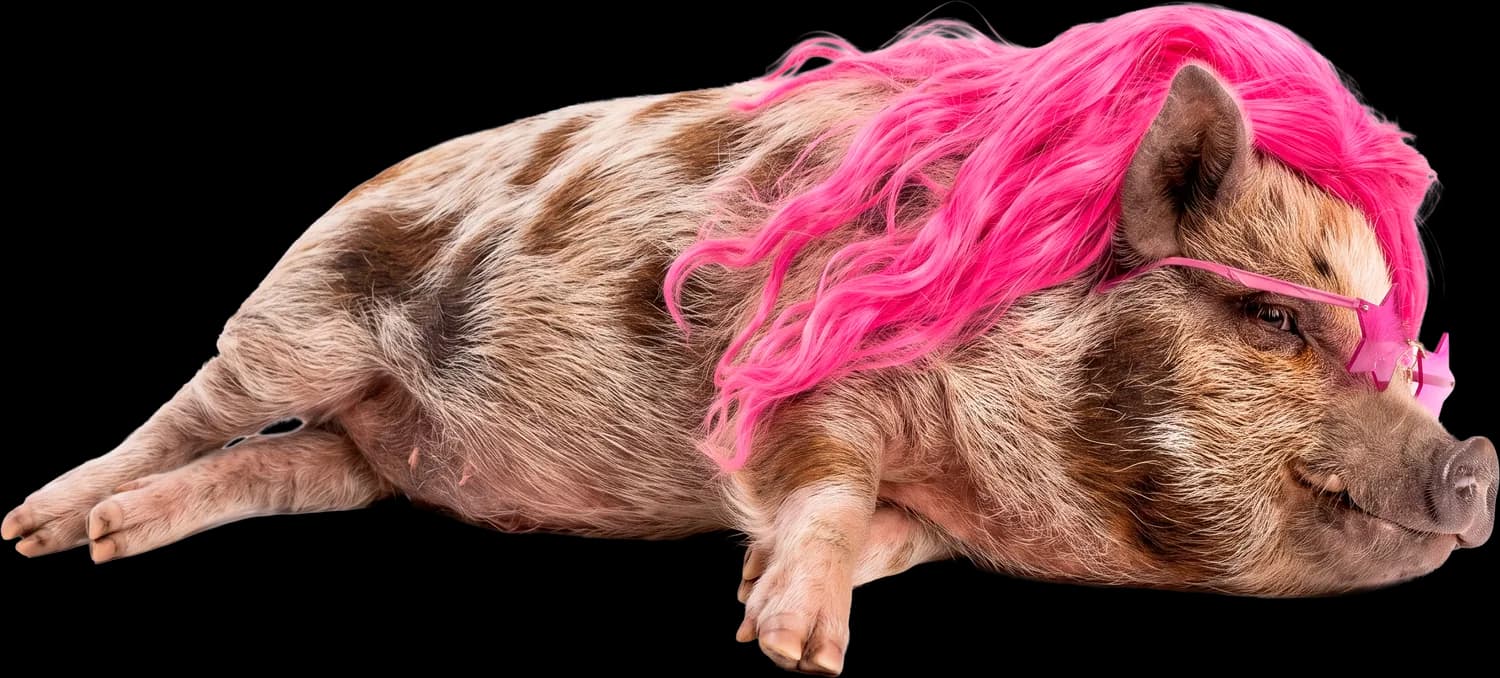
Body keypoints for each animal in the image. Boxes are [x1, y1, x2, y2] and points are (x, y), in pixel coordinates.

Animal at [3, 6, 1494, 676]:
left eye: (1396, 353)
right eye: (1272, 316)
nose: (1474, 459)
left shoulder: (938, 505)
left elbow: (882, 529)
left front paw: (768, 604)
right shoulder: (794, 363)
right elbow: (820, 478)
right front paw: (796, 648)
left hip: (362, 455)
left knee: (277, 465)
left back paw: (107, 541)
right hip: (300, 316)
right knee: (198, 406)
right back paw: (40, 528)